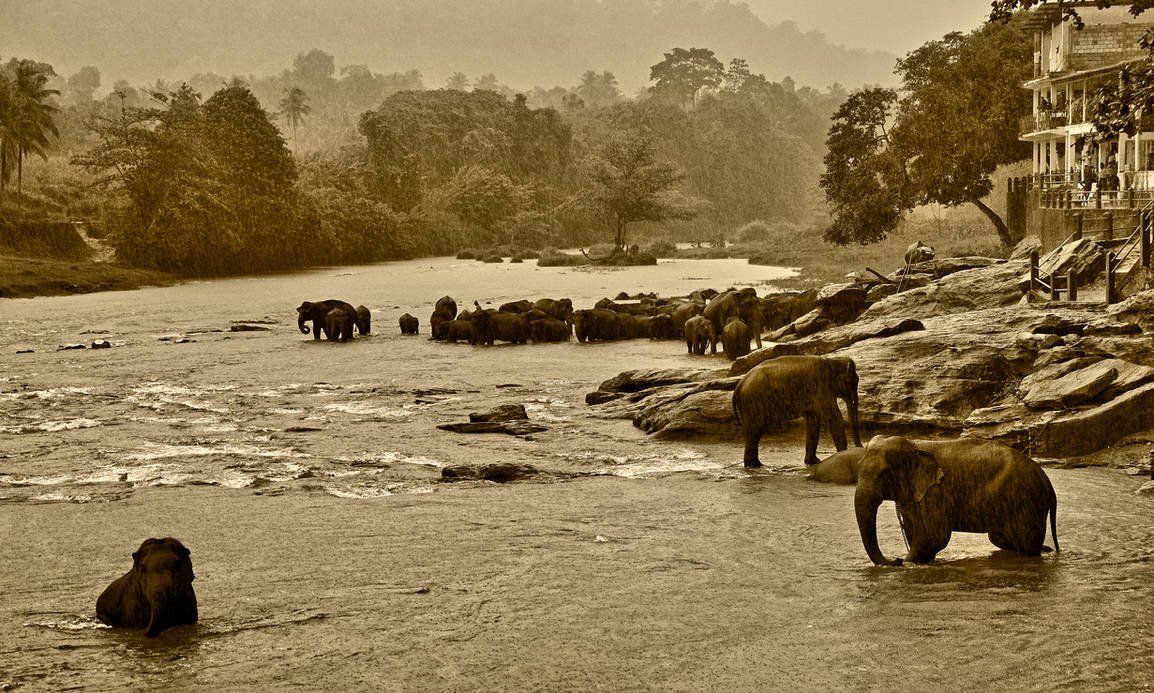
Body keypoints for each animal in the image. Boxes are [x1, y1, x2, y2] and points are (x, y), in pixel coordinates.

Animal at [733, 357, 863, 465]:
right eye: (853, 382)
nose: (860, 449)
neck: (832, 361)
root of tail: (738, 386)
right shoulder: (821, 387)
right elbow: (835, 418)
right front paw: (842, 455)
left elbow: (813, 421)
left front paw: (814, 462)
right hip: (754, 403)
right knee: (756, 431)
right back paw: (756, 465)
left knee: (753, 432)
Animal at [853, 435, 1057, 565]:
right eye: (857, 467)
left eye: (884, 474)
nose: (895, 560)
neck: (915, 446)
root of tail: (1048, 484)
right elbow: (914, 531)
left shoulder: (937, 491)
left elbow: (934, 536)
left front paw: (907, 561)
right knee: (1001, 538)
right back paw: (1046, 548)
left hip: (1026, 500)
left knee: (1025, 544)